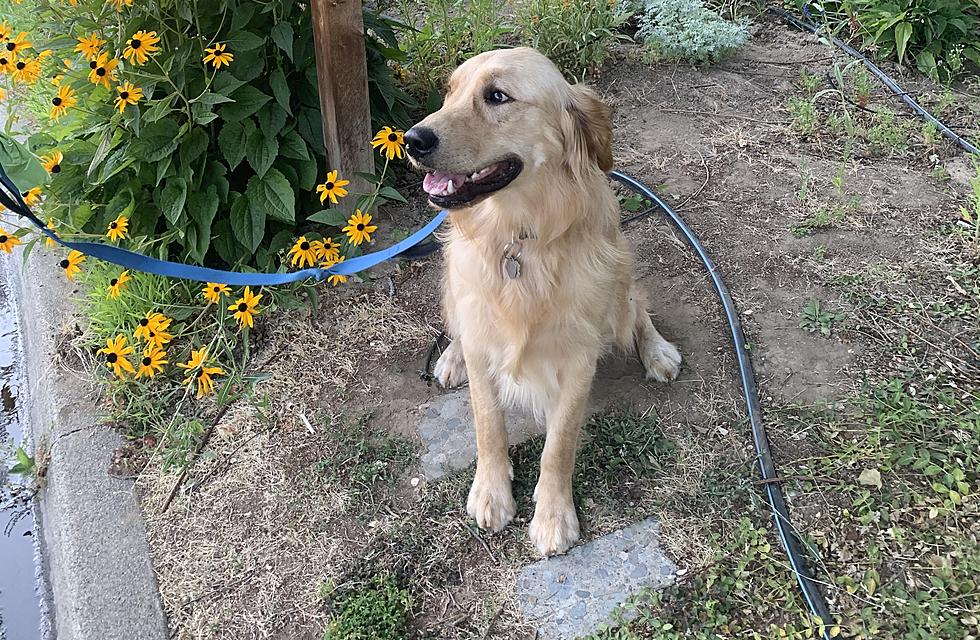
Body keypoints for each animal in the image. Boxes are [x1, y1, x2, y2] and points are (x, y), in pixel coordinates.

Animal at [406, 47, 680, 556]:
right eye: (449, 92)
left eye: (497, 96)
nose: (412, 139)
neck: (518, 238)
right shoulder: (485, 341)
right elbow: (488, 424)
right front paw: (491, 492)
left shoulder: (577, 357)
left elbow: (560, 444)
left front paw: (554, 516)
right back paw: (451, 356)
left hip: (618, 278)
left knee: (635, 306)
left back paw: (656, 350)